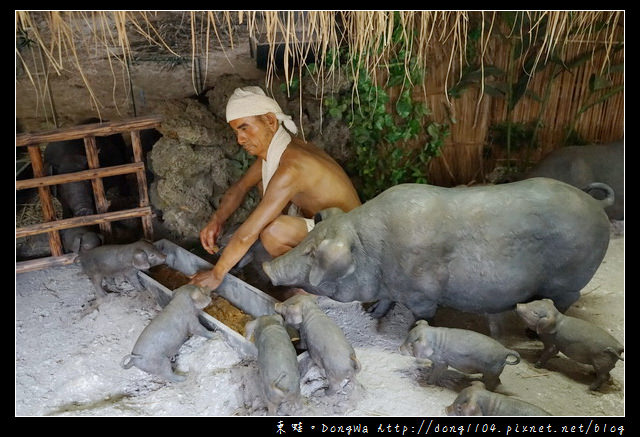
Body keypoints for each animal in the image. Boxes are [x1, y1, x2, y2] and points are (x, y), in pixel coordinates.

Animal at [262, 177, 612, 320]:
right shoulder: (390, 288)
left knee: (568, 299)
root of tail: (595, 204)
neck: (373, 251)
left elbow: (423, 316)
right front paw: (370, 312)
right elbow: (386, 300)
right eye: (307, 240)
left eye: (312, 252)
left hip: (567, 280)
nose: (268, 268)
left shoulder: (423, 294)